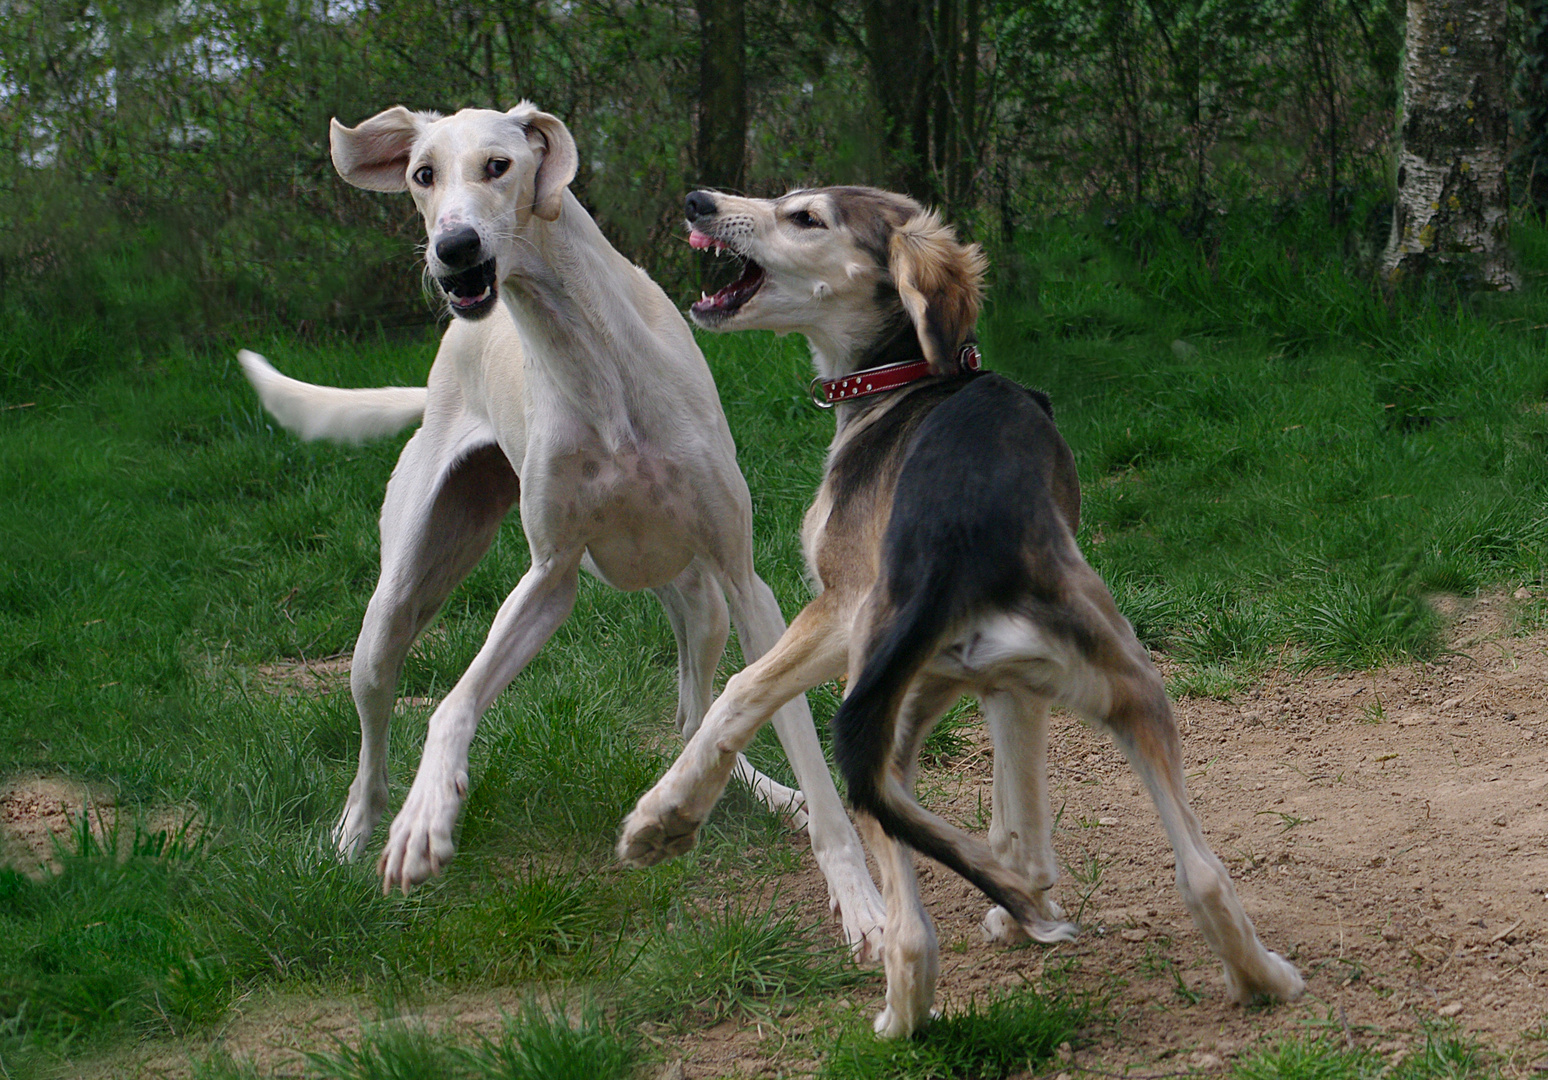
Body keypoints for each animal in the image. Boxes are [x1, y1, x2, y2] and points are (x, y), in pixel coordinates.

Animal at [241, 107, 885, 953]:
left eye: (499, 164)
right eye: (422, 175)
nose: (455, 249)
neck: (592, 356)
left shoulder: (747, 584)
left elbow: (786, 730)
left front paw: (860, 900)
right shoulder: (549, 580)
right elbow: (452, 704)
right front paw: (426, 818)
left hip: (702, 602)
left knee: (695, 713)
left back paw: (755, 797)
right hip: (393, 608)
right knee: (376, 722)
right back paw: (356, 830)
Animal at [619, 187, 1306, 1033]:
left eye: (804, 215)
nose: (701, 201)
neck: (915, 375)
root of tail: (958, 534)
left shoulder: (836, 610)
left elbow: (741, 694)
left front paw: (666, 816)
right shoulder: (1008, 685)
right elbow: (1022, 832)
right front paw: (1020, 903)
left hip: (880, 703)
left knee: (906, 914)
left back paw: (899, 1015)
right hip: (1120, 690)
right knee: (1198, 874)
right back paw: (1258, 978)